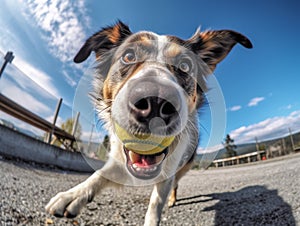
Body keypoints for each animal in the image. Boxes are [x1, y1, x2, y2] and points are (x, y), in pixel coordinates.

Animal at [45, 20, 251, 224]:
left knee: (175, 184)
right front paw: (73, 195)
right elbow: (98, 174)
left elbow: (155, 203)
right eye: (128, 56)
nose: (155, 102)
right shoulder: (119, 160)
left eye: (185, 65)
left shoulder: (169, 171)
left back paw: (172, 199)